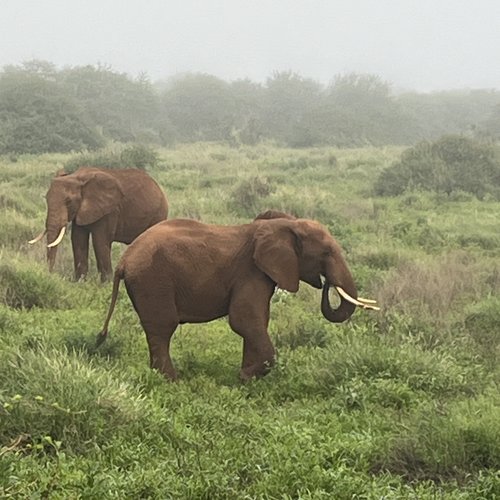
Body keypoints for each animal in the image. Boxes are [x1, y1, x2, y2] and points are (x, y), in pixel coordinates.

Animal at [30, 167, 169, 282]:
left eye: (69, 202)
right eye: (46, 199)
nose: (49, 275)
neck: (77, 177)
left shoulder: (109, 211)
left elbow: (100, 241)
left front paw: (105, 284)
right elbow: (78, 240)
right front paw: (80, 282)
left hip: (158, 214)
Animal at [96, 213, 378, 380]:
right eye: (326, 253)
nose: (326, 282)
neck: (283, 224)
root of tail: (123, 260)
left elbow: (257, 320)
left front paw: (246, 375)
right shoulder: (250, 271)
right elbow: (244, 320)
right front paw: (246, 376)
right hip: (154, 280)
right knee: (163, 328)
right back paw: (171, 380)